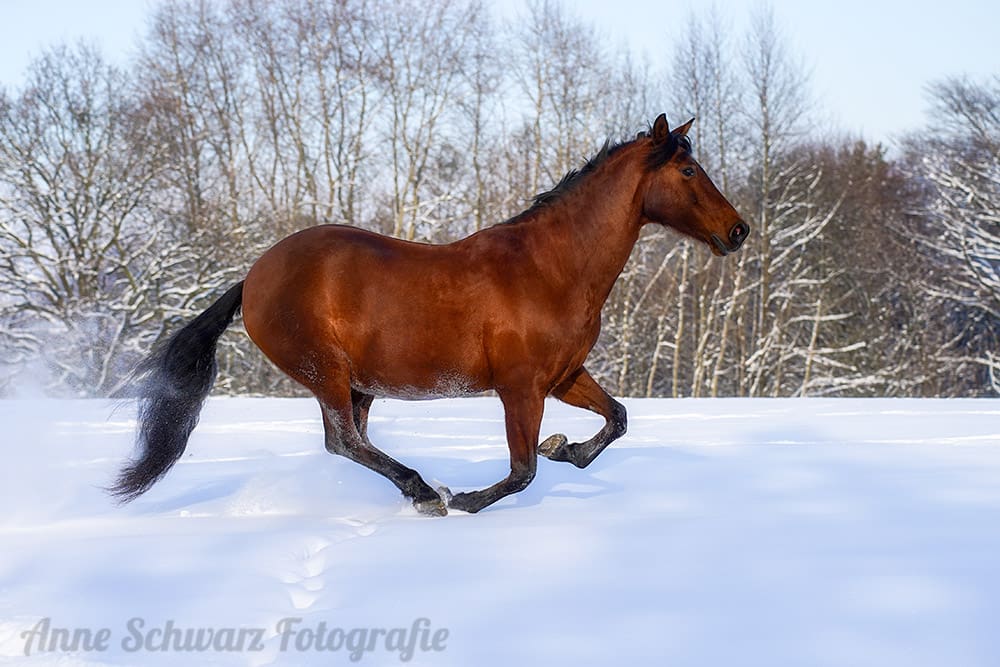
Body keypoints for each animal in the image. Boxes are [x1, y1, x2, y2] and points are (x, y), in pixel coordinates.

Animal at [111, 114, 748, 515]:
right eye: (688, 172)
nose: (738, 230)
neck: (552, 268)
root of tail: (253, 278)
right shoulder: (520, 387)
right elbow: (522, 472)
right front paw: (467, 498)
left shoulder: (562, 377)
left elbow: (617, 419)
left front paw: (564, 447)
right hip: (327, 373)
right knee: (344, 442)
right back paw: (425, 493)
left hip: (358, 384)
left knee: (352, 441)